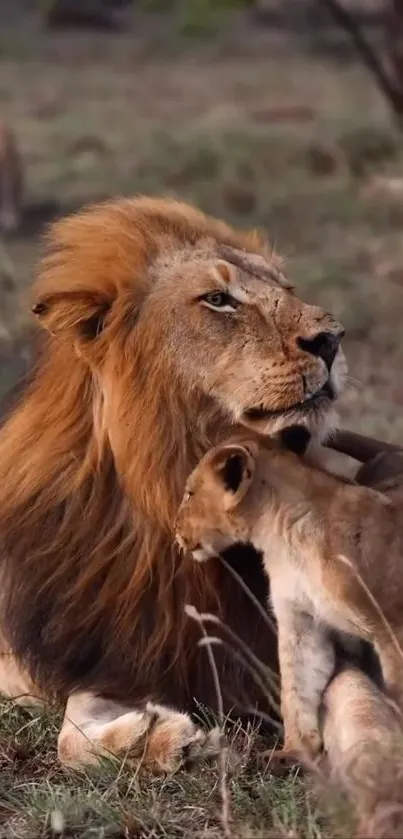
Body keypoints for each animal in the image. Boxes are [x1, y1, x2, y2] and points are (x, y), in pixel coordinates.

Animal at [0, 194, 358, 772]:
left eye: (287, 288)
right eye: (218, 300)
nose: (332, 339)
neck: (169, 481)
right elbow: (68, 735)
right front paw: (161, 740)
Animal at [177, 430, 403, 764]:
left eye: (190, 493)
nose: (175, 528)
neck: (286, 540)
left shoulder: (392, 628)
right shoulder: (301, 622)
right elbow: (297, 689)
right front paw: (293, 753)